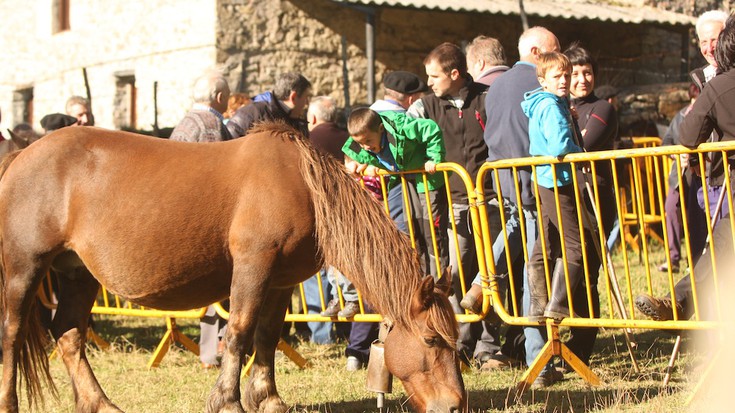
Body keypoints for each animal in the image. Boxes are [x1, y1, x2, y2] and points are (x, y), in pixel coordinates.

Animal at [0, 124, 466, 412]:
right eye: (430, 338)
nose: (454, 404)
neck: (302, 184)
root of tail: (20, 155)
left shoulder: (281, 280)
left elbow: (268, 336)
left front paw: (268, 398)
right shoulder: (253, 265)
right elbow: (240, 331)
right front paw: (228, 399)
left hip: (77, 272)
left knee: (69, 335)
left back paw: (100, 403)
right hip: (24, 268)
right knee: (12, 334)